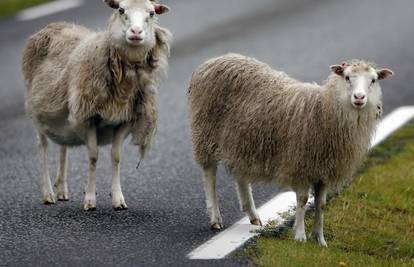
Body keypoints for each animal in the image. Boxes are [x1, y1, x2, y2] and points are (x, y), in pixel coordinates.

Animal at [22, 0, 171, 211]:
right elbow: (93, 157)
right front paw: (90, 199)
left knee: (63, 146)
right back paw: (48, 193)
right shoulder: (87, 118)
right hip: (37, 114)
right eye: (121, 10)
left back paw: (62, 190)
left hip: (63, 111)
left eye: (151, 14)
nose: (136, 32)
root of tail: (55, 25)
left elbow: (116, 157)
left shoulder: (124, 121)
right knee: (42, 146)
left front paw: (118, 199)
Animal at [189, 54, 392, 247]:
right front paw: (300, 236)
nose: (359, 98)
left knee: (241, 175)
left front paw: (320, 239)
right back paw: (215, 218)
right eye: (347, 77)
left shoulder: (324, 170)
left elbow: (321, 204)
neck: (325, 111)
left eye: (373, 80)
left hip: (241, 141)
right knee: (209, 175)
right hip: (206, 133)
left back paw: (253, 215)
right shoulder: (300, 164)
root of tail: (216, 60)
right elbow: (302, 200)